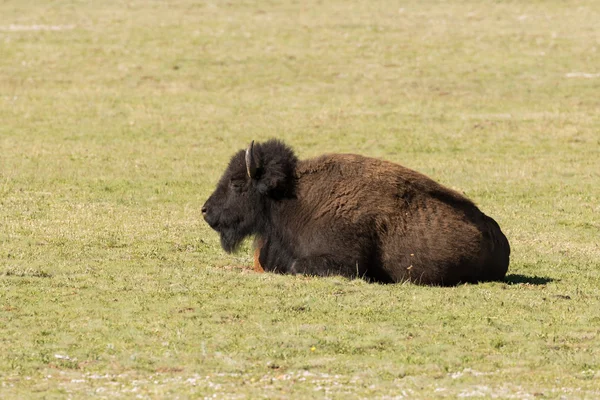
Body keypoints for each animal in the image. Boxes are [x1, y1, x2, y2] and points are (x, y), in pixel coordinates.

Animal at [203, 139, 510, 286]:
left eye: (236, 182)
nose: (206, 211)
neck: (291, 197)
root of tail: (500, 238)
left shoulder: (343, 261)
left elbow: (297, 266)